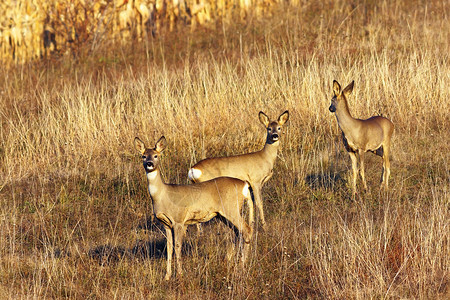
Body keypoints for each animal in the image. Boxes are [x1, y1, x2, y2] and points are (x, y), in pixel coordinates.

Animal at [134, 136, 253, 282]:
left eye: (156, 155)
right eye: (143, 156)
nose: (149, 163)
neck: (162, 195)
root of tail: (244, 185)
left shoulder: (179, 220)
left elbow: (177, 247)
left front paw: (179, 275)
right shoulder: (165, 224)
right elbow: (169, 248)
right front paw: (167, 276)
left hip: (231, 208)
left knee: (247, 230)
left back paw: (242, 266)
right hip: (223, 215)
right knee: (238, 232)